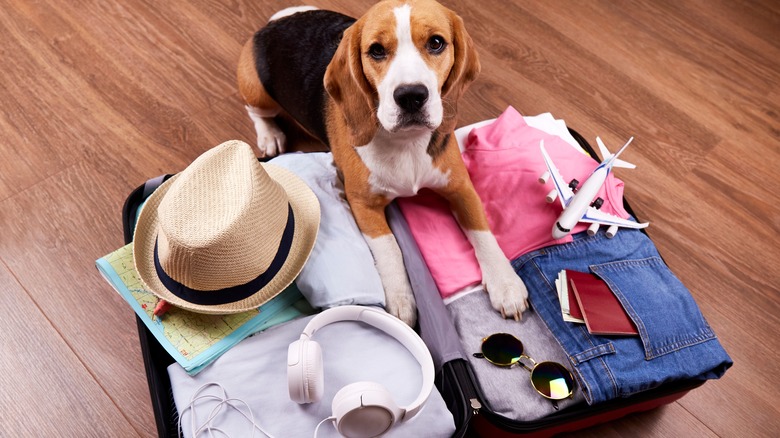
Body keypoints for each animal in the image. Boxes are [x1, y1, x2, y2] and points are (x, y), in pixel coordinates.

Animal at [236, 0, 532, 324]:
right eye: (376, 50)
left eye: (436, 43)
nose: (411, 96)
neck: (407, 142)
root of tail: (276, 23)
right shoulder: (363, 204)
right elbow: (390, 248)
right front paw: (401, 300)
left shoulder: (461, 187)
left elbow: (482, 230)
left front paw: (505, 283)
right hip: (257, 92)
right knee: (256, 112)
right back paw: (269, 135)